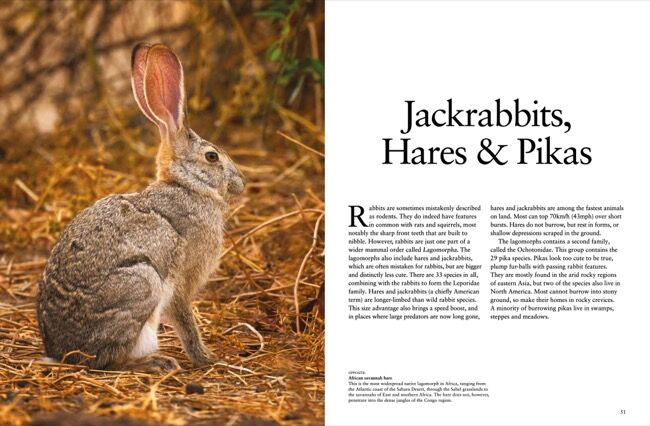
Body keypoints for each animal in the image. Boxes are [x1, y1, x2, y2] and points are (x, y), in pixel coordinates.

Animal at [36, 43, 245, 373]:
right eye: (212, 157)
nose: (240, 183)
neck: (186, 184)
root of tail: (63, 352)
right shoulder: (183, 282)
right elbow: (185, 321)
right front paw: (208, 358)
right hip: (142, 285)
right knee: (111, 360)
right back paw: (156, 363)